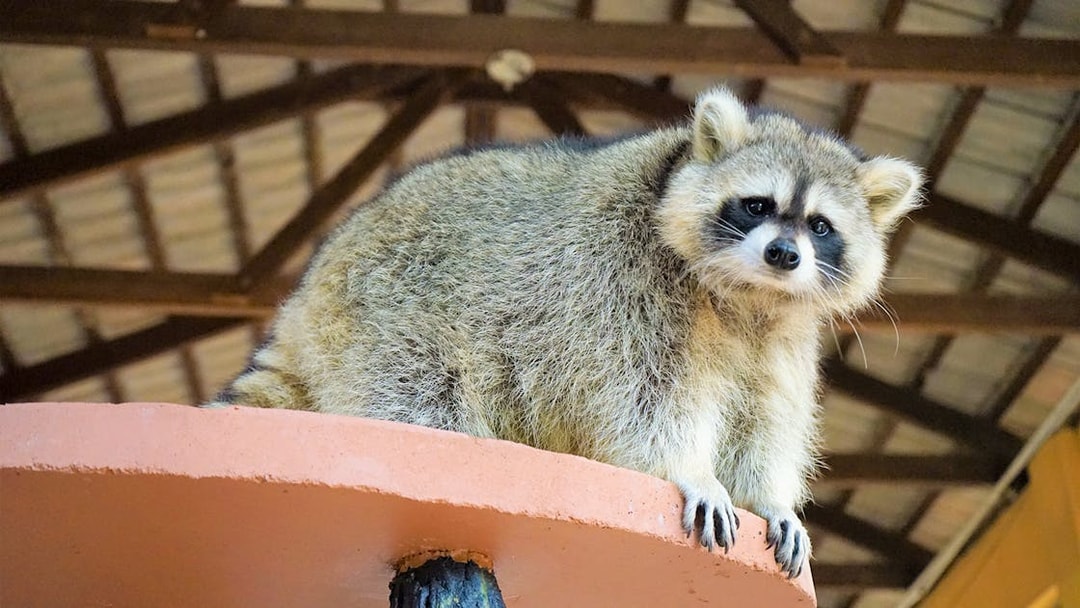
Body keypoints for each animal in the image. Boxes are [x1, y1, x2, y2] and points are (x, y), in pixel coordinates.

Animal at [209, 87, 923, 578]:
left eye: (821, 226)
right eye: (757, 206)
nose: (783, 254)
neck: (744, 295)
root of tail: (310, 290)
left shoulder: (784, 332)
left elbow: (765, 419)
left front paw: (768, 498)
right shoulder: (622, 280)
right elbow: (643, 397)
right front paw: (690, 469)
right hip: (386, 311)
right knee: (420, 398)